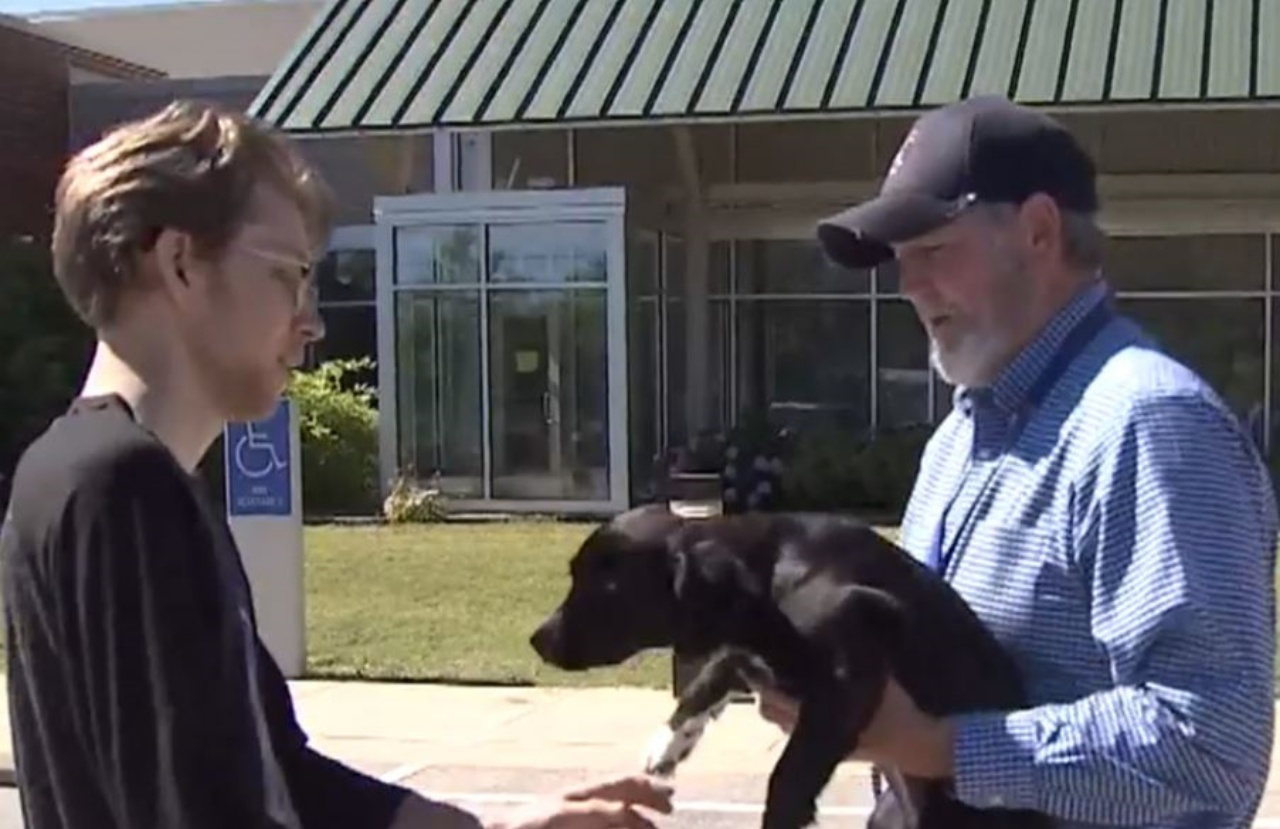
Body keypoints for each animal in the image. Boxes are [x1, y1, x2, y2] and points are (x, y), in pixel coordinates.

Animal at [527, 504, 1049, 829]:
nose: (537, 640)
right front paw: (669, 740)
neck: (772, 575)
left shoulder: (846, 676)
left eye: (605, 591)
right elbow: (714, 672)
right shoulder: (750, 645)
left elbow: (789, 774)